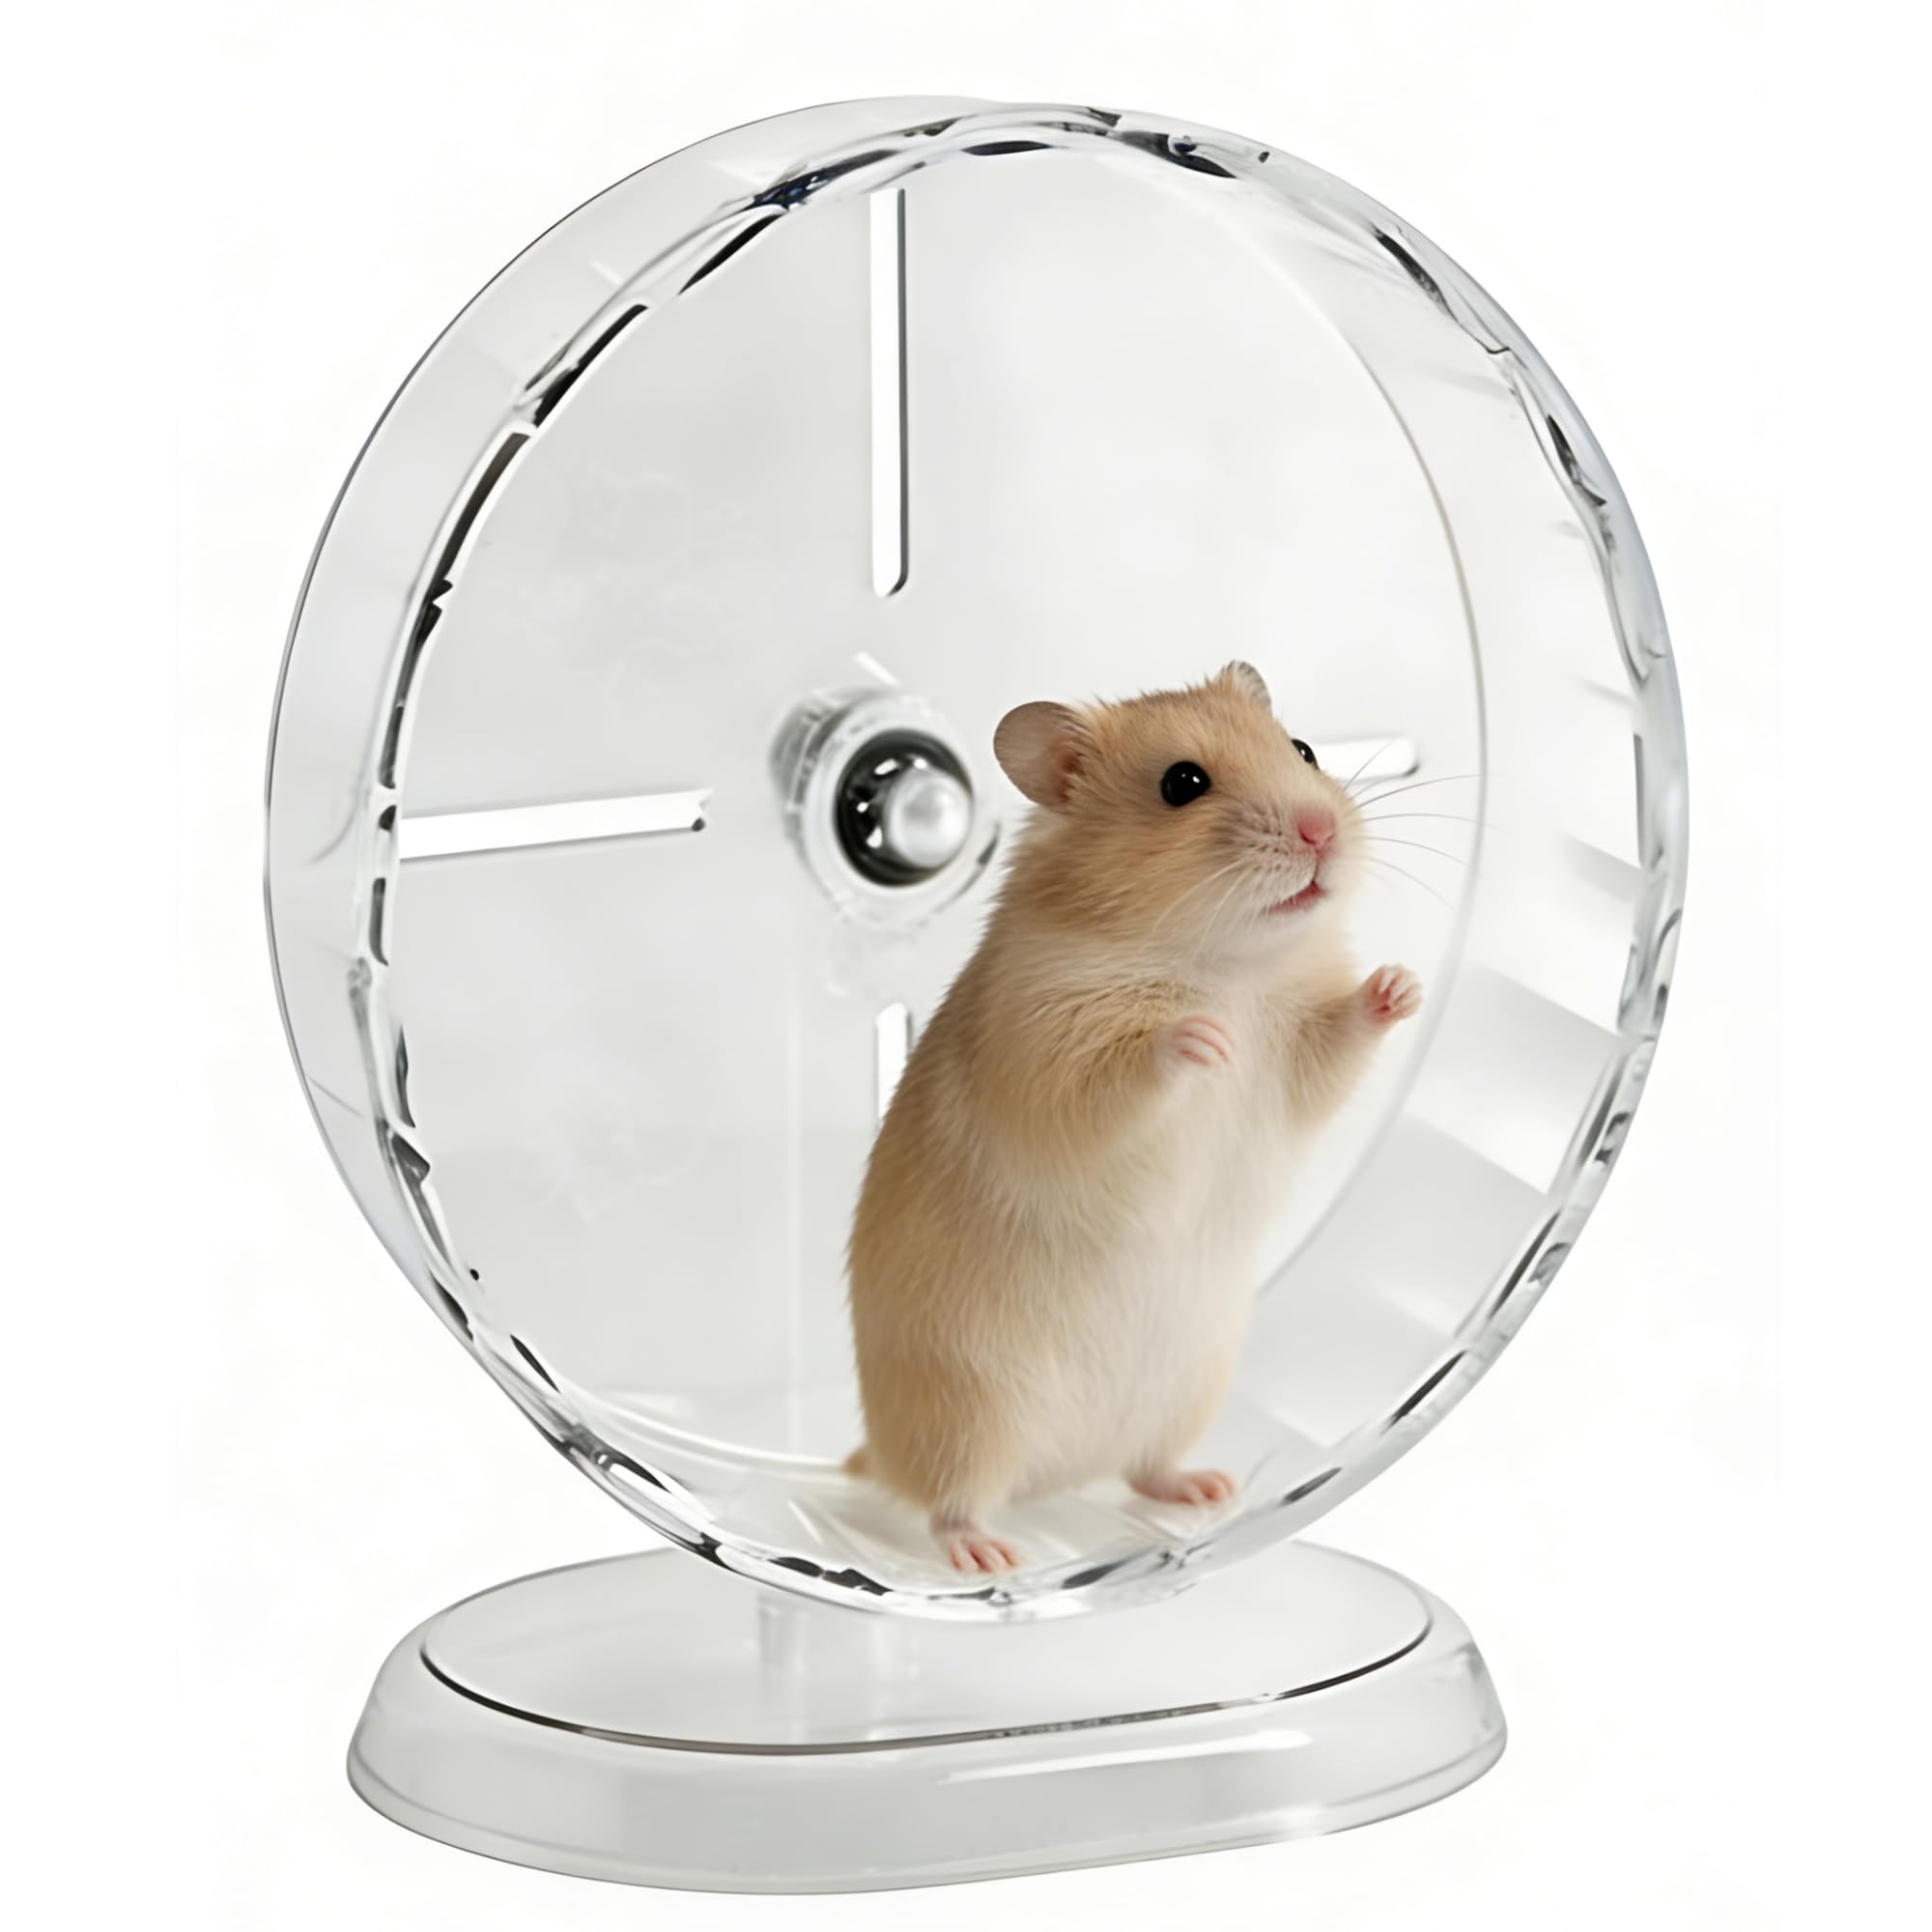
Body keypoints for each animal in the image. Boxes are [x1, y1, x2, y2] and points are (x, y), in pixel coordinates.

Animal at [845, 661, 1421, 1574]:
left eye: (1303, 748)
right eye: (1182, 784)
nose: (1322, 830)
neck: (1222, 962)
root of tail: (1053, 1479)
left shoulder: (1299, 1057)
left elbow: (1341, 1037)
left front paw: (1403, 984)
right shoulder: (1045, 1058)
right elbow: (1122, 1078)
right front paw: (1202, 1039)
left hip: (1185, 1394)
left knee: (1142, 1468)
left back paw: (1208, 1492)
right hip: (968, 1415)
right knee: (948, 1502)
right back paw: (992, 1557)